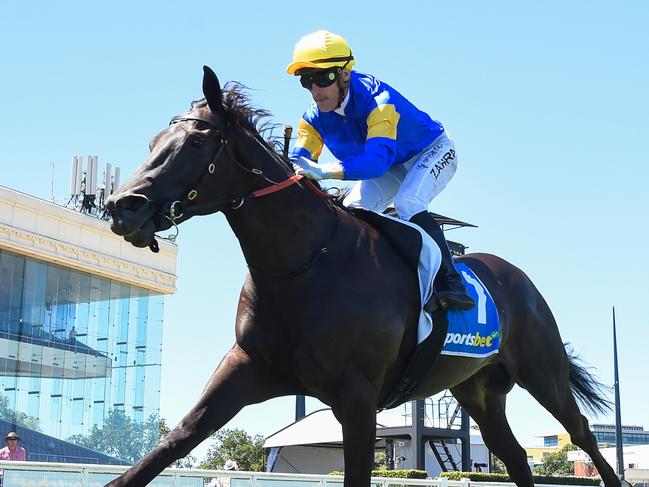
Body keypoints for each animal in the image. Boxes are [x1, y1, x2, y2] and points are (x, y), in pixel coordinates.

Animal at [105, 66, 616, 487]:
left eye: (194, 143)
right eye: (153, 143)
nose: (122, 206)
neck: (303, 265)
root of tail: (517, 278)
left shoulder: (358, 397)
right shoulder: (247, 367)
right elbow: (176, 440)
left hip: (542, 371)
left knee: (584, 436)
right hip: (478, 391)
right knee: (514, 457)